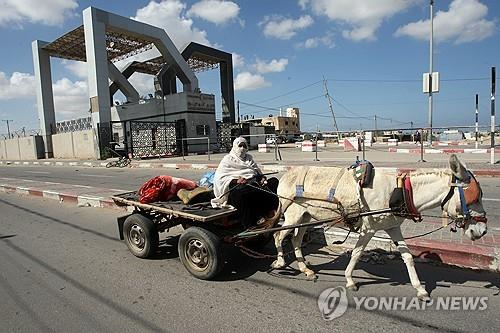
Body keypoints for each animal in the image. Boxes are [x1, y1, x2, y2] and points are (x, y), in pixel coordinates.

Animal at [274, 154, 488, 300]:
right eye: (475, 197)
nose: (482, 231)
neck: (400, 192)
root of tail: (285, 176)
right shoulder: (369, 229)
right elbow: (357, 253)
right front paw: (350, 280)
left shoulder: (393, 227)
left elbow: (408, 257)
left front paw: (420, 289)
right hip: (293, 216)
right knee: (279, 236)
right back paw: (280, 262)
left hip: (306, 217)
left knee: (296, 239)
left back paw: (306, 269)